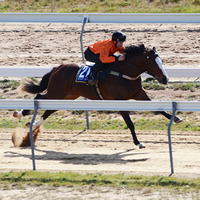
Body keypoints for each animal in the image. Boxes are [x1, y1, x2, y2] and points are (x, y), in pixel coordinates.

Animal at [13, 43, 182, 148]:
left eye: (162, 60)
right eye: (153, 63)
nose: (165, 79)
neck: (124, 73)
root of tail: (58, 68)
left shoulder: (139, 94)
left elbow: (158, 108)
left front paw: (175, 118)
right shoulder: (119, 101)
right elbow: (130, 123)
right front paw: (138, 143)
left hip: (67, 96)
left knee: (49, 109)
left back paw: (33, 125)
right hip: (56, 92)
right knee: (38, 97)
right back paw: (20, 113)